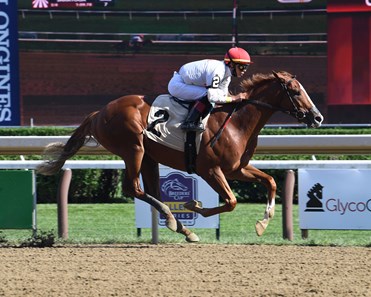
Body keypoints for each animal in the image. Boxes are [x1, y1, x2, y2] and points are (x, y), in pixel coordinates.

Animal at [36, 71, 324, 240]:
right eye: (295, 91)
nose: (318, 117)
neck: (237, 121)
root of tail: (99, 113)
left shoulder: (236, 168)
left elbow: (271, 181)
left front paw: (263, 223)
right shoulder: (210, 170)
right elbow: (231, 201)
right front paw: (193, 205)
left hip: (148, 157)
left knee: (151, 189)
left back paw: (180, 226)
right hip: (133, 149)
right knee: (133, 188)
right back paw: (175, 219)